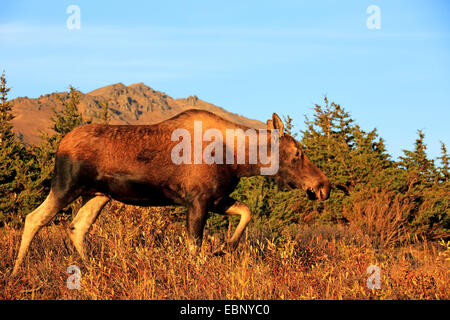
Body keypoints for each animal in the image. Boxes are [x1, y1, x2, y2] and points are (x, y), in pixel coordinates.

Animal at [10, 109, 330, 276]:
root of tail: (60, 143)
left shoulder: (216, 198)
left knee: (77, 227)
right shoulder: (198, 200)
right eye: (298, 153)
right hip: (66, 185)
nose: (323, 186)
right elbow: (194, 247)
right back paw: (15, 272)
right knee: (34, 218)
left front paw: (223, 248)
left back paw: (93, 269)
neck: (239, 161)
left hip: (98, 195)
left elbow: (246, 213)